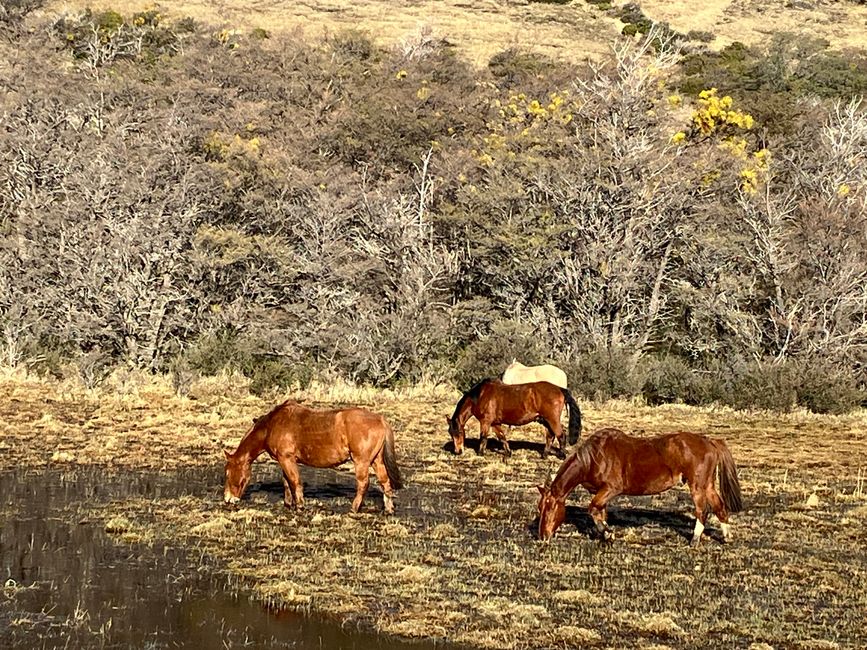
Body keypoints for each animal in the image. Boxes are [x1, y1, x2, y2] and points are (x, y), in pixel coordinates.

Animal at [222, 400, 402, 512]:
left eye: (228, 473)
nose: (228, 499)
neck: (271, 426)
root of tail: (380, 420)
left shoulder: (287, 459)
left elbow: (295, 481)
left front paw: (300, 506)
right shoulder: (284, 460)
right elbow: (286, 482)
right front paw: (288, 503)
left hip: (362, 461)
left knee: (363, 483)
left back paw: (354, 508)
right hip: (376, 461)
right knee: (385, 481)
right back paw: (388, 509)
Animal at [448, 378, 584, 458]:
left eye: (459, 432)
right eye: (451, 434)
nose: (458, 451)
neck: (481, 395)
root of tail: (560, 389)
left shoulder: (485, 421)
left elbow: (483, 437)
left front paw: (480, 453)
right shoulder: (494, 423)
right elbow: (502, 437)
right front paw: (508, 453)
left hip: (552, 419)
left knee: (561, 435)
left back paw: (561, 455)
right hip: (545, 420)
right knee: (550, 436)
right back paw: (544, 455)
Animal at [540, 428, 744, 544]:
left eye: (550, 507)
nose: (542, 536)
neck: (593, 458)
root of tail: (710, 442)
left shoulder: (611, 489)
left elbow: (593, 508)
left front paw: (608, 533)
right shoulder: (601, 493)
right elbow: (600, 512)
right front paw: (604, 534)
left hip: (697, 486)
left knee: (703, 510)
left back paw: (694, 540)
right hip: (707, 485)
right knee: (719, 507)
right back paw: (726, 537)